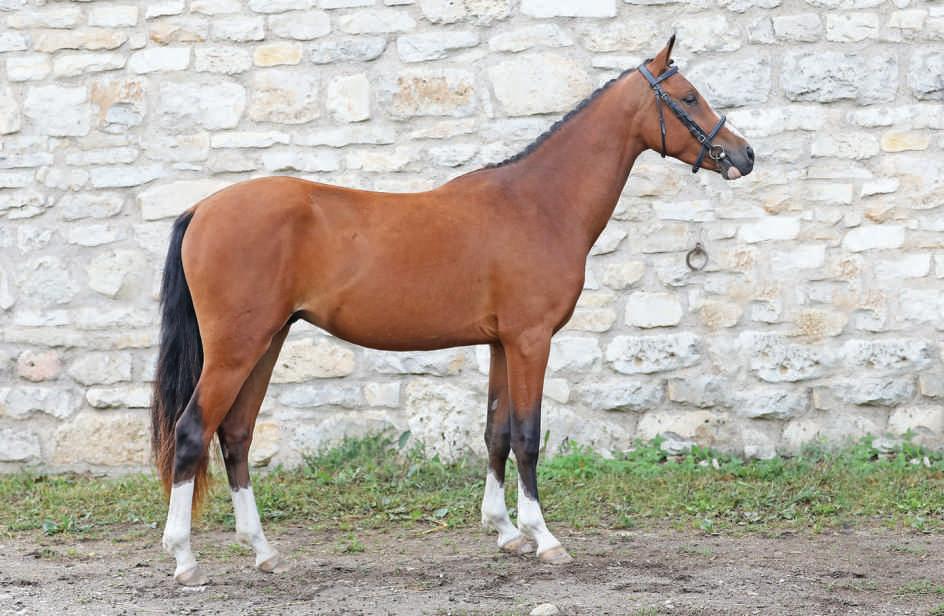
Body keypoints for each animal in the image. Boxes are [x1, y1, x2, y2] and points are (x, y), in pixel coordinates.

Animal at [150, 34, 754, 585]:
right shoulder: (531, 340)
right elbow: (528, 435)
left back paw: (263, 551)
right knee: (193, 431)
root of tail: (202, 209)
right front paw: (544, 537)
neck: (538, 204)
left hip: (267, 342)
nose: (744, 155)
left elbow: (496, 432)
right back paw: (184, 559)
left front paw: (506, 531)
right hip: (236, 349)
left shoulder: (501, 343)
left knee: (236, 435)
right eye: (689, 95)